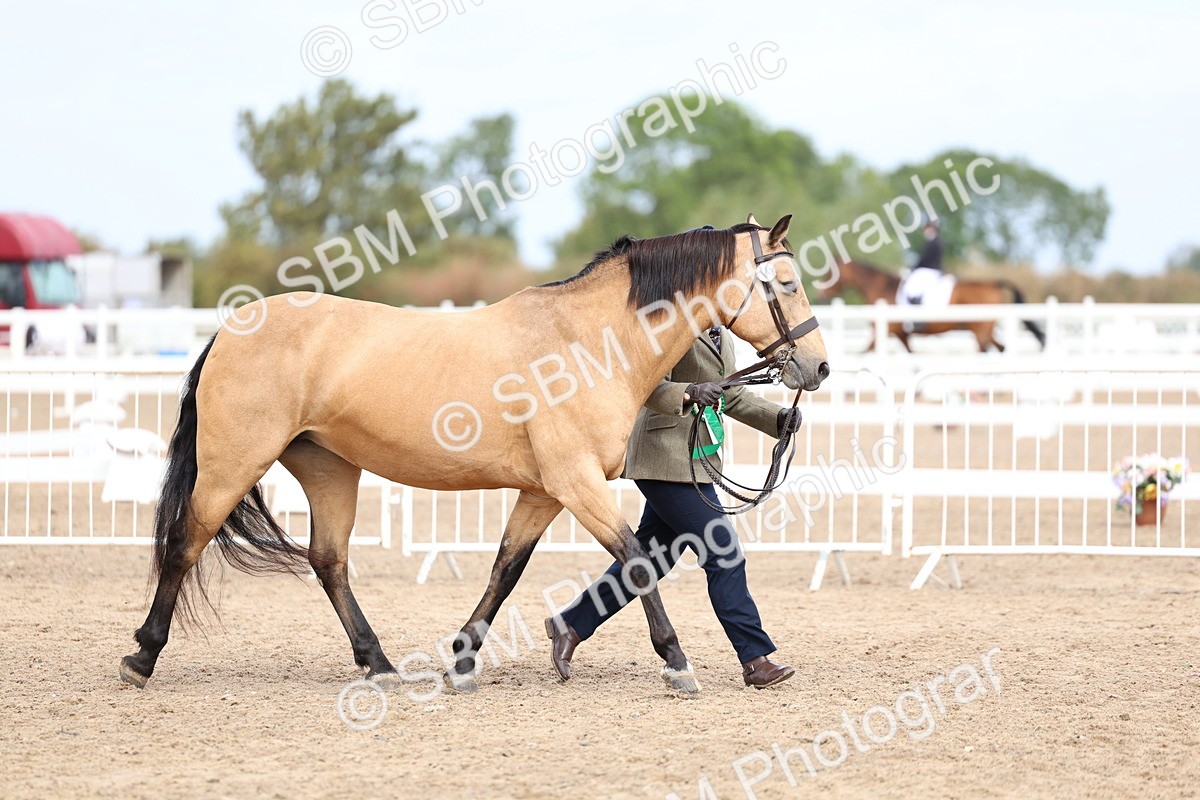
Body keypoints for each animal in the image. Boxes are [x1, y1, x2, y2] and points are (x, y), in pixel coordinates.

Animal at [119, 214, 830, 695]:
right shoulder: (576, 485)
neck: (584, 342)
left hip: (327, 468)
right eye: (788, 282)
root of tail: (230, 329)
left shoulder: (544, 492)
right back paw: (141, 658)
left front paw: (463, 660)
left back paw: (379, 664)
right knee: (186, 541)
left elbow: (506, 569)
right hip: (233, 464)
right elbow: (633, 559)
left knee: (329, 561)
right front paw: (677, 661)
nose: (817, 367)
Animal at [821, 258, 1046, 353]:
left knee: (985, 351)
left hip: (980, 329)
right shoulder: (901, 335)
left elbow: (864, 352)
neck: (882, 288)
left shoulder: (883, 331)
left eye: (830, 274)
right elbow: (911, 355)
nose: (822, 297)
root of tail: (993, 284)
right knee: (999, 348)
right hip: (985, 329)